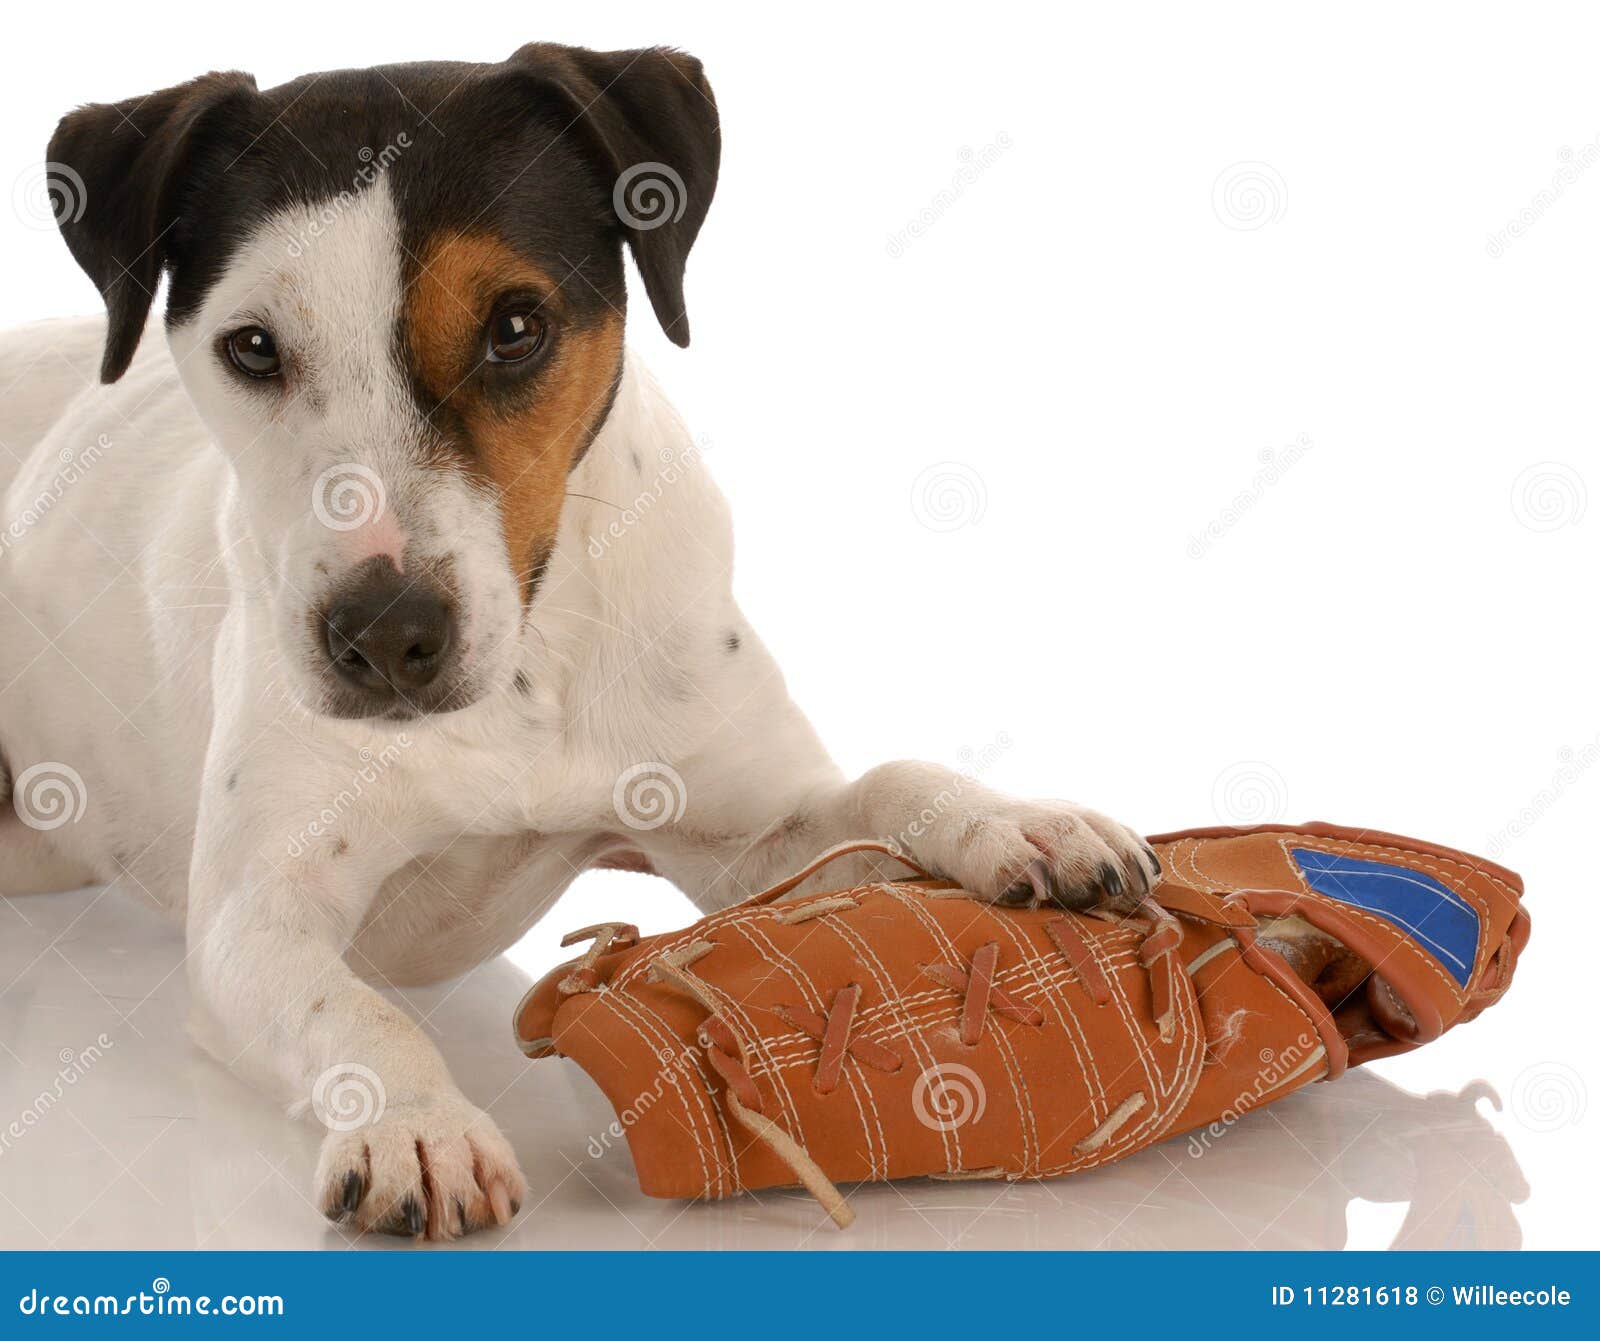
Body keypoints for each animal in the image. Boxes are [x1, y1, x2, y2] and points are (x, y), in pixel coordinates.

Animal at [0, 44, 1158, 1241]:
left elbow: (883, 784)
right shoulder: (253, 920)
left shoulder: (743, 836)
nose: (387, 635)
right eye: (253, 348)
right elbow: (361, 1012)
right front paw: (419, 1125)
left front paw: (1015, 821)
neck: (521, 677)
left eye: (516, 327)